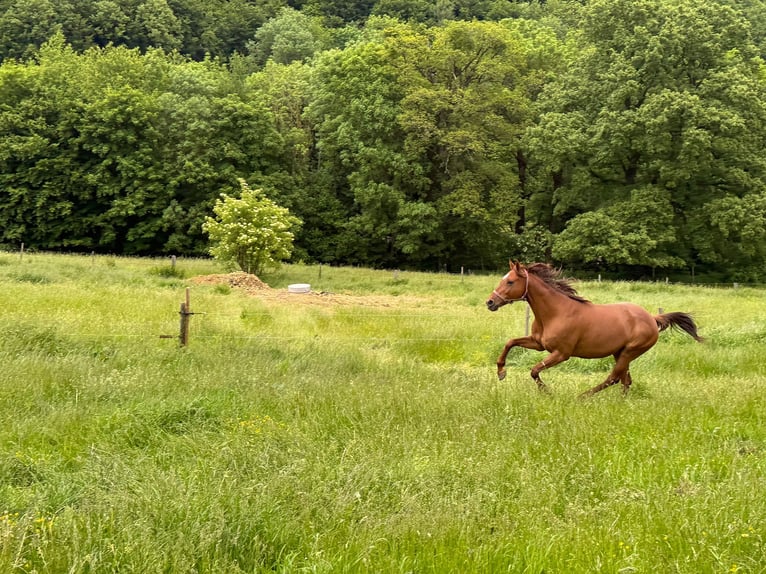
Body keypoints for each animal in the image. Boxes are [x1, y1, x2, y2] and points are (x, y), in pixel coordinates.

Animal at [486, 261, 703, 398]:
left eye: (510, 281)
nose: (490, 302)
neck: (556, 312)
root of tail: (652, 318)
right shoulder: (538, 343)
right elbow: (511, 342)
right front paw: (501, 372)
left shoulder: (561, 354)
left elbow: (534, 370)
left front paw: (548, 392)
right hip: (620, 352)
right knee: (625, 380)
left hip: (630, 352)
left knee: (614, 378)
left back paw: (582, 397)